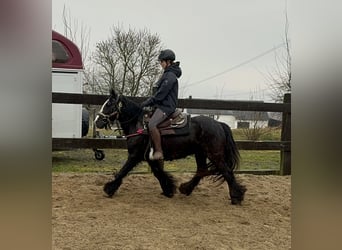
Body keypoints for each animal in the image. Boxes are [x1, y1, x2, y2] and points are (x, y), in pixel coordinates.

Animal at [95, 90, 246, 205]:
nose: (97, 121)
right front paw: (168, 189)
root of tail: (219, 124)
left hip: (214, 154)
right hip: (200, 153)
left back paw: (236, 197)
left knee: (226, 172)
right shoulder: (149, 157)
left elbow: (123, 171)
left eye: (109, 104)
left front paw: (109, 188)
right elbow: (159, 173)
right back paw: (186, 188)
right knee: (202, 171)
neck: (138, 124)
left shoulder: (134, 155)